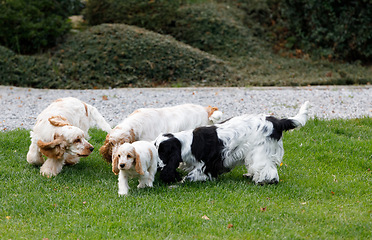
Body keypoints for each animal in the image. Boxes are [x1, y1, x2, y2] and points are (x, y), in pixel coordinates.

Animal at [153, 101, 310, 186]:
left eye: (162, 152)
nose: (157, 166)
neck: (186, 142)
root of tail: (277, 121)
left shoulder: (205, 165)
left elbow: (191, 176)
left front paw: (176, 184)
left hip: (261, 151)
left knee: (267, 169)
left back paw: (264, 181)